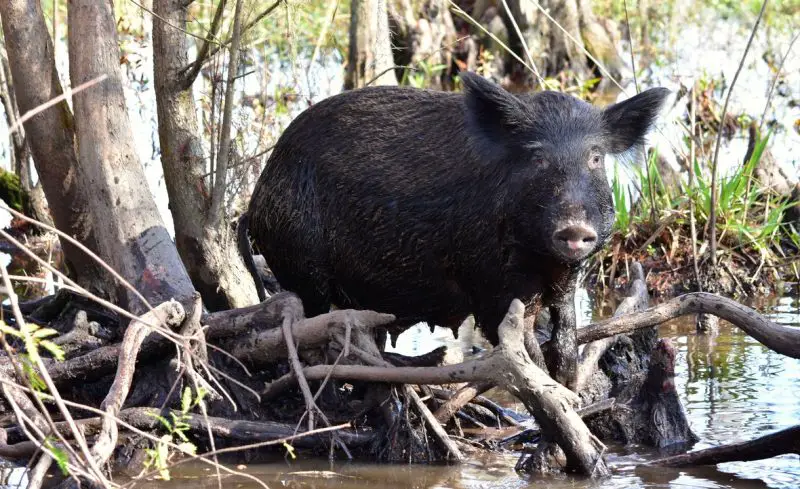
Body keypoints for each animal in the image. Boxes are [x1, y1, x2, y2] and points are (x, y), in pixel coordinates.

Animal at [238, 72, 669, 389]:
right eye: (537, 157)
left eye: (595, 157)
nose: (574, 227)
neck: (540, 260)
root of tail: (255, 201)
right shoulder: (489, 283)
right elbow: (525, 352)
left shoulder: (566, 281)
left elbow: (564, 338)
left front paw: (573, 390)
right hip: (300, 258)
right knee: (312, 321)